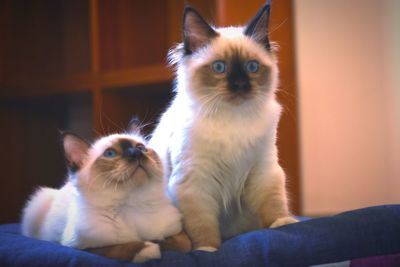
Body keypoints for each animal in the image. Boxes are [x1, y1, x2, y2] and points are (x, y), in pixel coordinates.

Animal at [22, 124, 182, 264]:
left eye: (140, 148)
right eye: (110, 153)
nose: (136, 153)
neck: (131, 204)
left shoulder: (178, 233)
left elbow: (173, 242)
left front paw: (157, 243)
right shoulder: (82, 248)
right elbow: (117, 248)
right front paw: (148, 249)